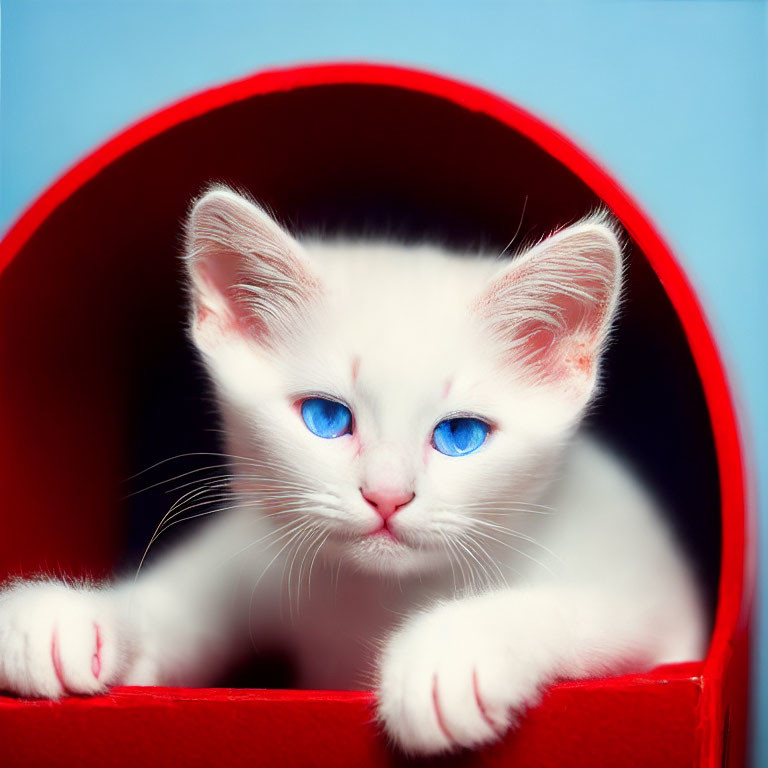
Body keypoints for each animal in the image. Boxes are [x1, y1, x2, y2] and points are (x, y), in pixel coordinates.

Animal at [0, 188, 704, 756]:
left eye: (460, 435)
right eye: (326, 417)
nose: (387, 496)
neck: (375, 598)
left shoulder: (664, 622)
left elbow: (595, 615)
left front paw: (452, 652)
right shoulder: (259, 553)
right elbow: (169, 616)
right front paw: (64, 620)